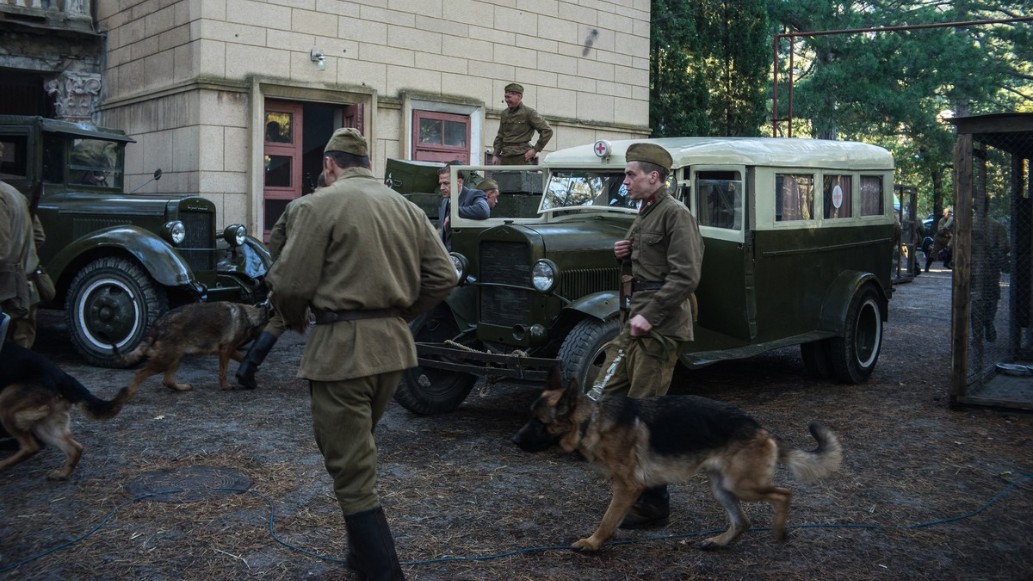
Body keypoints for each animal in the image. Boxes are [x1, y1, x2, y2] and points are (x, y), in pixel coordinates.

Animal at [0, 341, 131, 477]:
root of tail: (63, 376)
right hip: (42, 424)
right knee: (74, 448)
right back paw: (62, 475)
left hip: (5, 402)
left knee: (30, 446)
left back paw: (2, 465)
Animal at [110, 297, 270, 392]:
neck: (250, 315)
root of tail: (157, 325)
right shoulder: (225, 350)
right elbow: (223, 371)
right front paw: (225, 386)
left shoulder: (229, 350)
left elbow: (243, 357)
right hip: (165, 360)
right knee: (140, 374)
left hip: (176, 357)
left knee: (167, 380)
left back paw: (182, 387)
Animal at [512, 368, 842, 549]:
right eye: (528, 417)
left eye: (539, 422)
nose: (513, 441)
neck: (591, 420)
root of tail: (761, 429)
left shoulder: (627, 488)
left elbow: (607, 520)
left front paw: (592, 544)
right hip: (722, 489)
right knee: (743, 521)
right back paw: (718, 542)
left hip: (743, 486)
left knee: (784, 493)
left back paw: (779, 531)